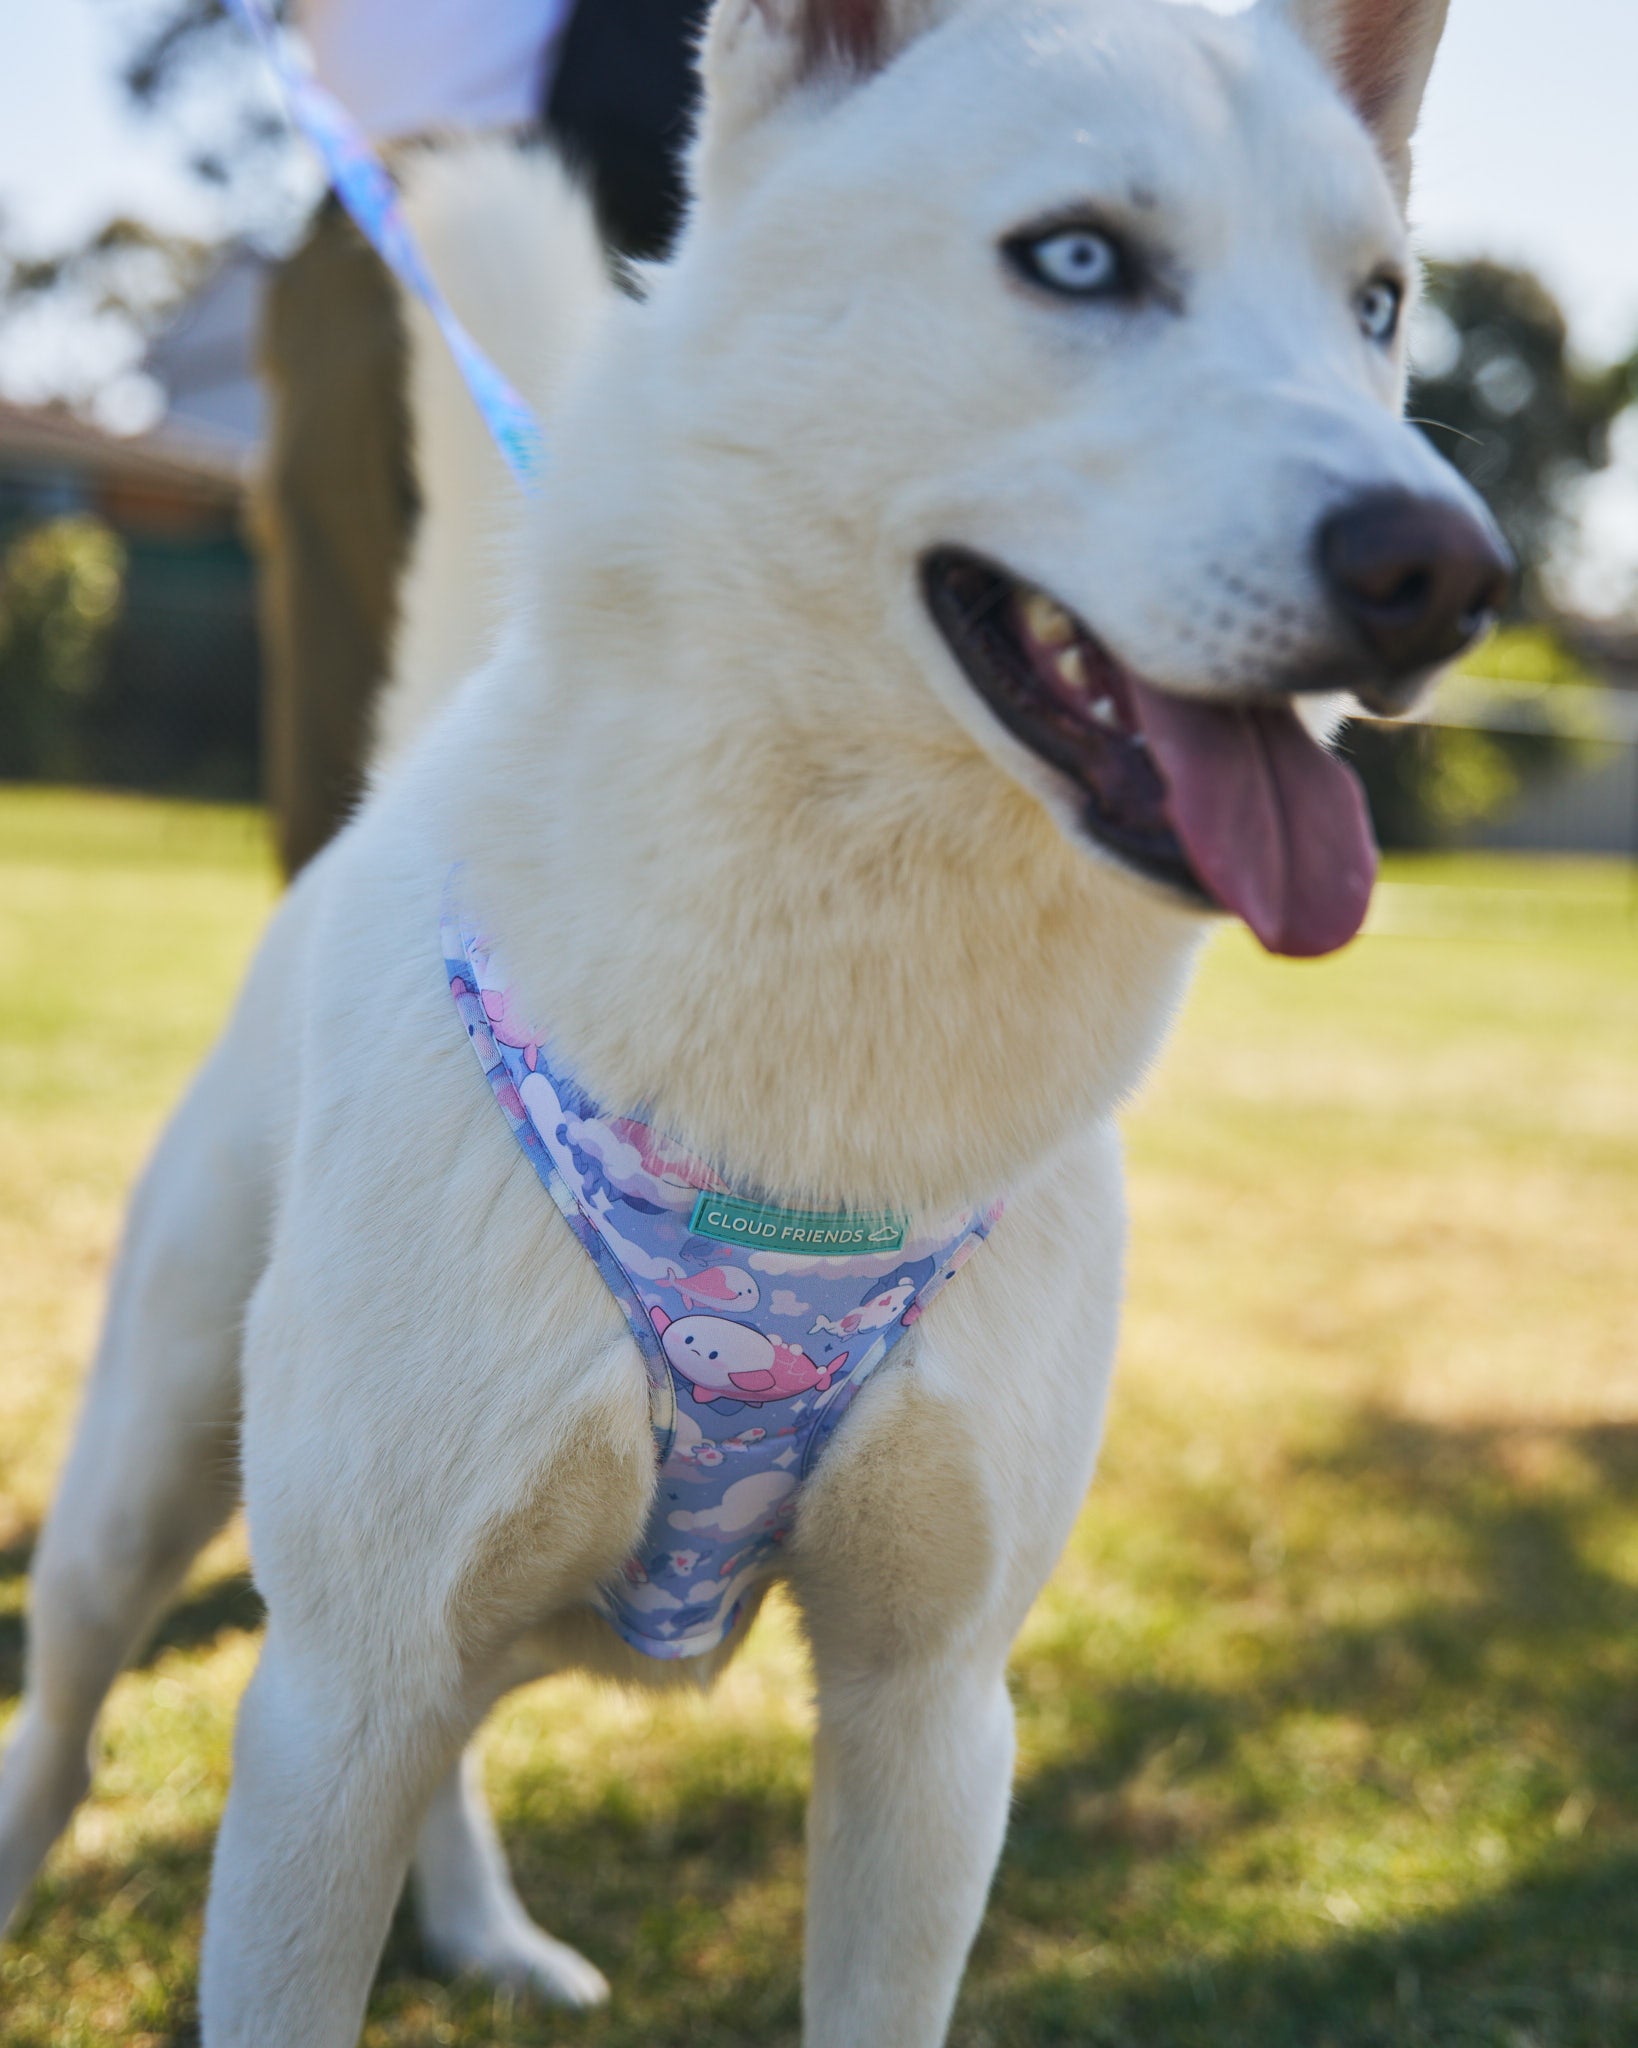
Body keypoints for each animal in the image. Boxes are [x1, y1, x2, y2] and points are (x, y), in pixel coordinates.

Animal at [0, 0, 1506, 2039]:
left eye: (1376, 304)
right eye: (1079, 258)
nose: (1446, 570)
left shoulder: (929, 1718)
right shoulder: (336, 1689)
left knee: (450, 1747)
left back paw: (480, 1928)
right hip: (152, 1471)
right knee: (76, 1702)